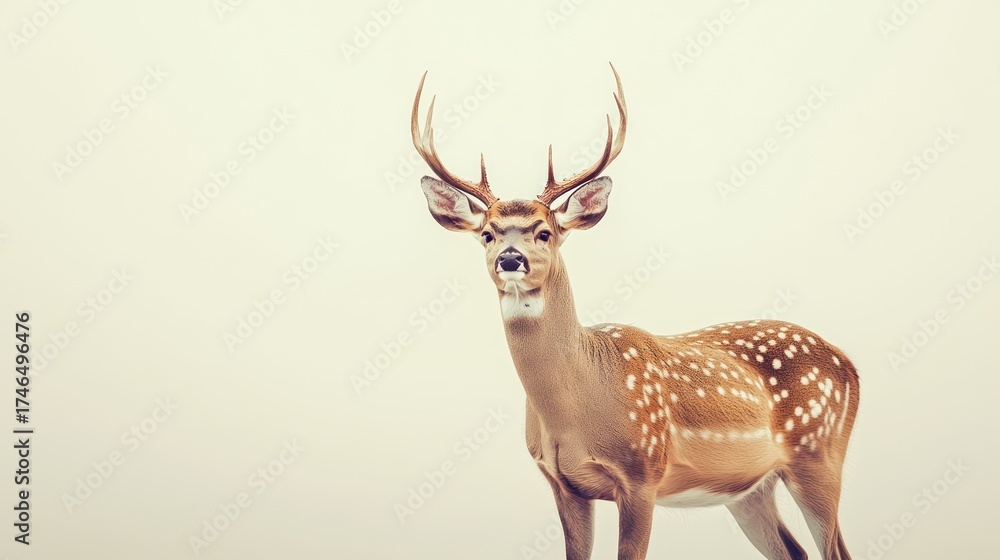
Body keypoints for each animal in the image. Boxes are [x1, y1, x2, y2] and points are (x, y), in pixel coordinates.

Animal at [409, 64, 859, 560]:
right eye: (487, 234)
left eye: (544, 232)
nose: (510, 259)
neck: (577, 406)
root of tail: (850, 365)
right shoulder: (563, 484)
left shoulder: (643, 473)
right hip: (749, 489)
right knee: (795, 551)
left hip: (819, 453)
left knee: (836, 550)